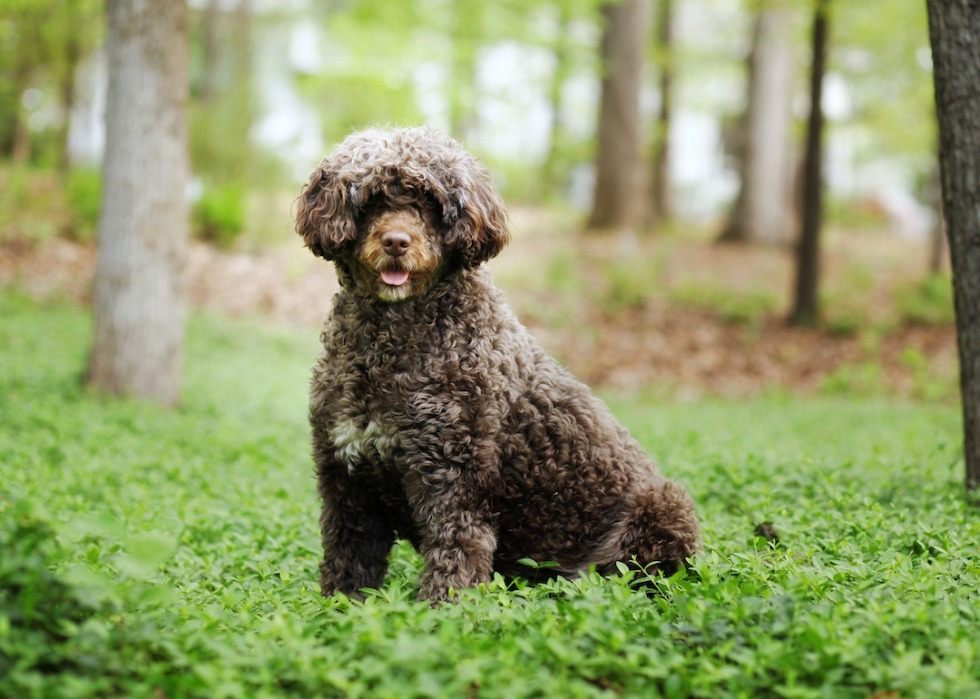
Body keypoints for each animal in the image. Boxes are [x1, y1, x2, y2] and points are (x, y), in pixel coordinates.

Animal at [294, 127, 700, 608]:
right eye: (372, 199)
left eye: (429, 202)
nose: (396, 242)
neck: (390, 340)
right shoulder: (346, 478)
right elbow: (348, 560)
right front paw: (336, 609)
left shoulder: (455, 481)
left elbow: (454, 557)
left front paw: (442, 612)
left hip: (663, 506)